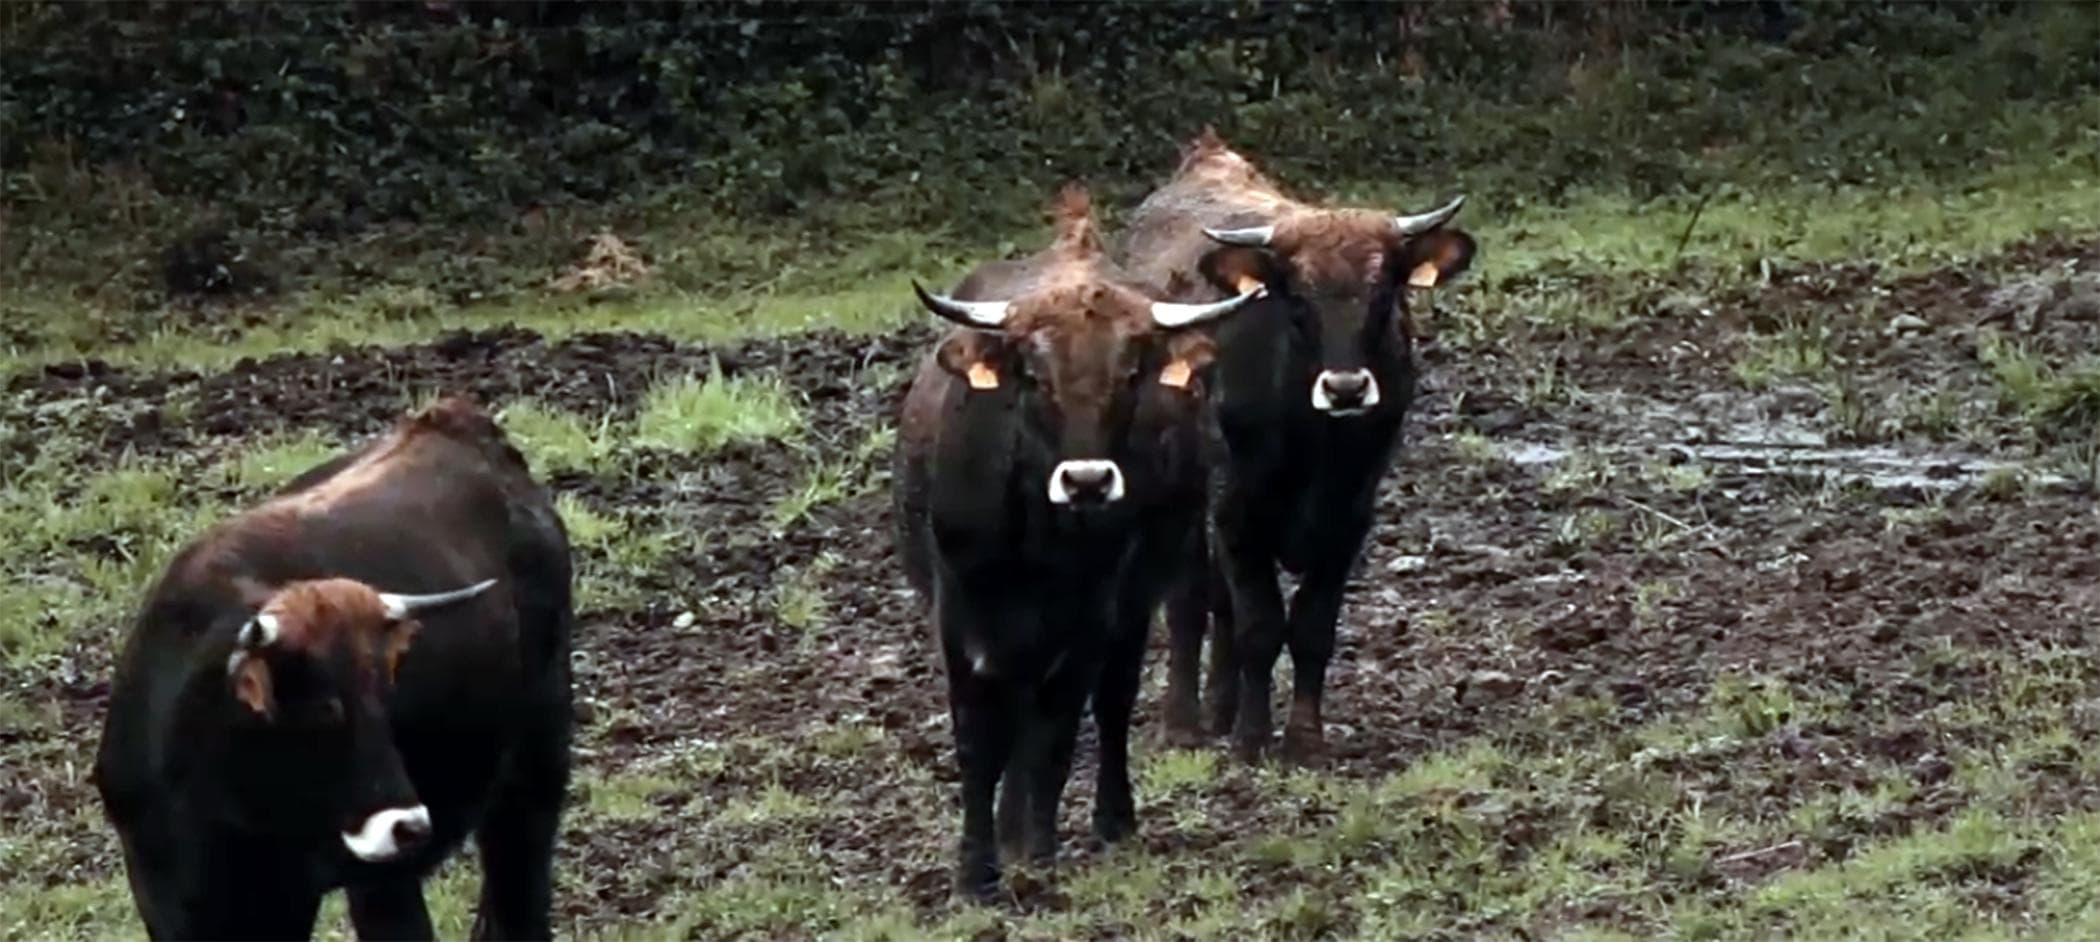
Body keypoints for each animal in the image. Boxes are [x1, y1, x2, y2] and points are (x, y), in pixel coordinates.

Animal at [92, 396, 576, 941]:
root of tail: (455, 421)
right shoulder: (176, 900)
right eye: (324, 707)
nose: (408, 825)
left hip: (538, 757)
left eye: (381, 698)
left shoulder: (365, 881)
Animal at [892, 182, 1258, 899]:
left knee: (1107, 705)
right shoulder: (957, 613)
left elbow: (1056, 735)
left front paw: (1039, 858)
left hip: (1134, 600)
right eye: (1034, 377)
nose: (1087, 480)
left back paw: (1109, 820)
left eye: (1131, 376)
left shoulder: (1093, 614)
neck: (1034, 539)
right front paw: (976, 870)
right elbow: (978, 740)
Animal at [1119, 127, 1479, 763]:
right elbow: (1260, 625)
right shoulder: (1235, 508)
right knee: (1191, 601)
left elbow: (1311, 626)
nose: (1346, 388)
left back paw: (1219, 708)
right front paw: (1253, 738)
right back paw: (1185, 722)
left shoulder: (1351, 515)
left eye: (1383, 296)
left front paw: (1303, 738)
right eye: (1298, 302)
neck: (1317, 444)